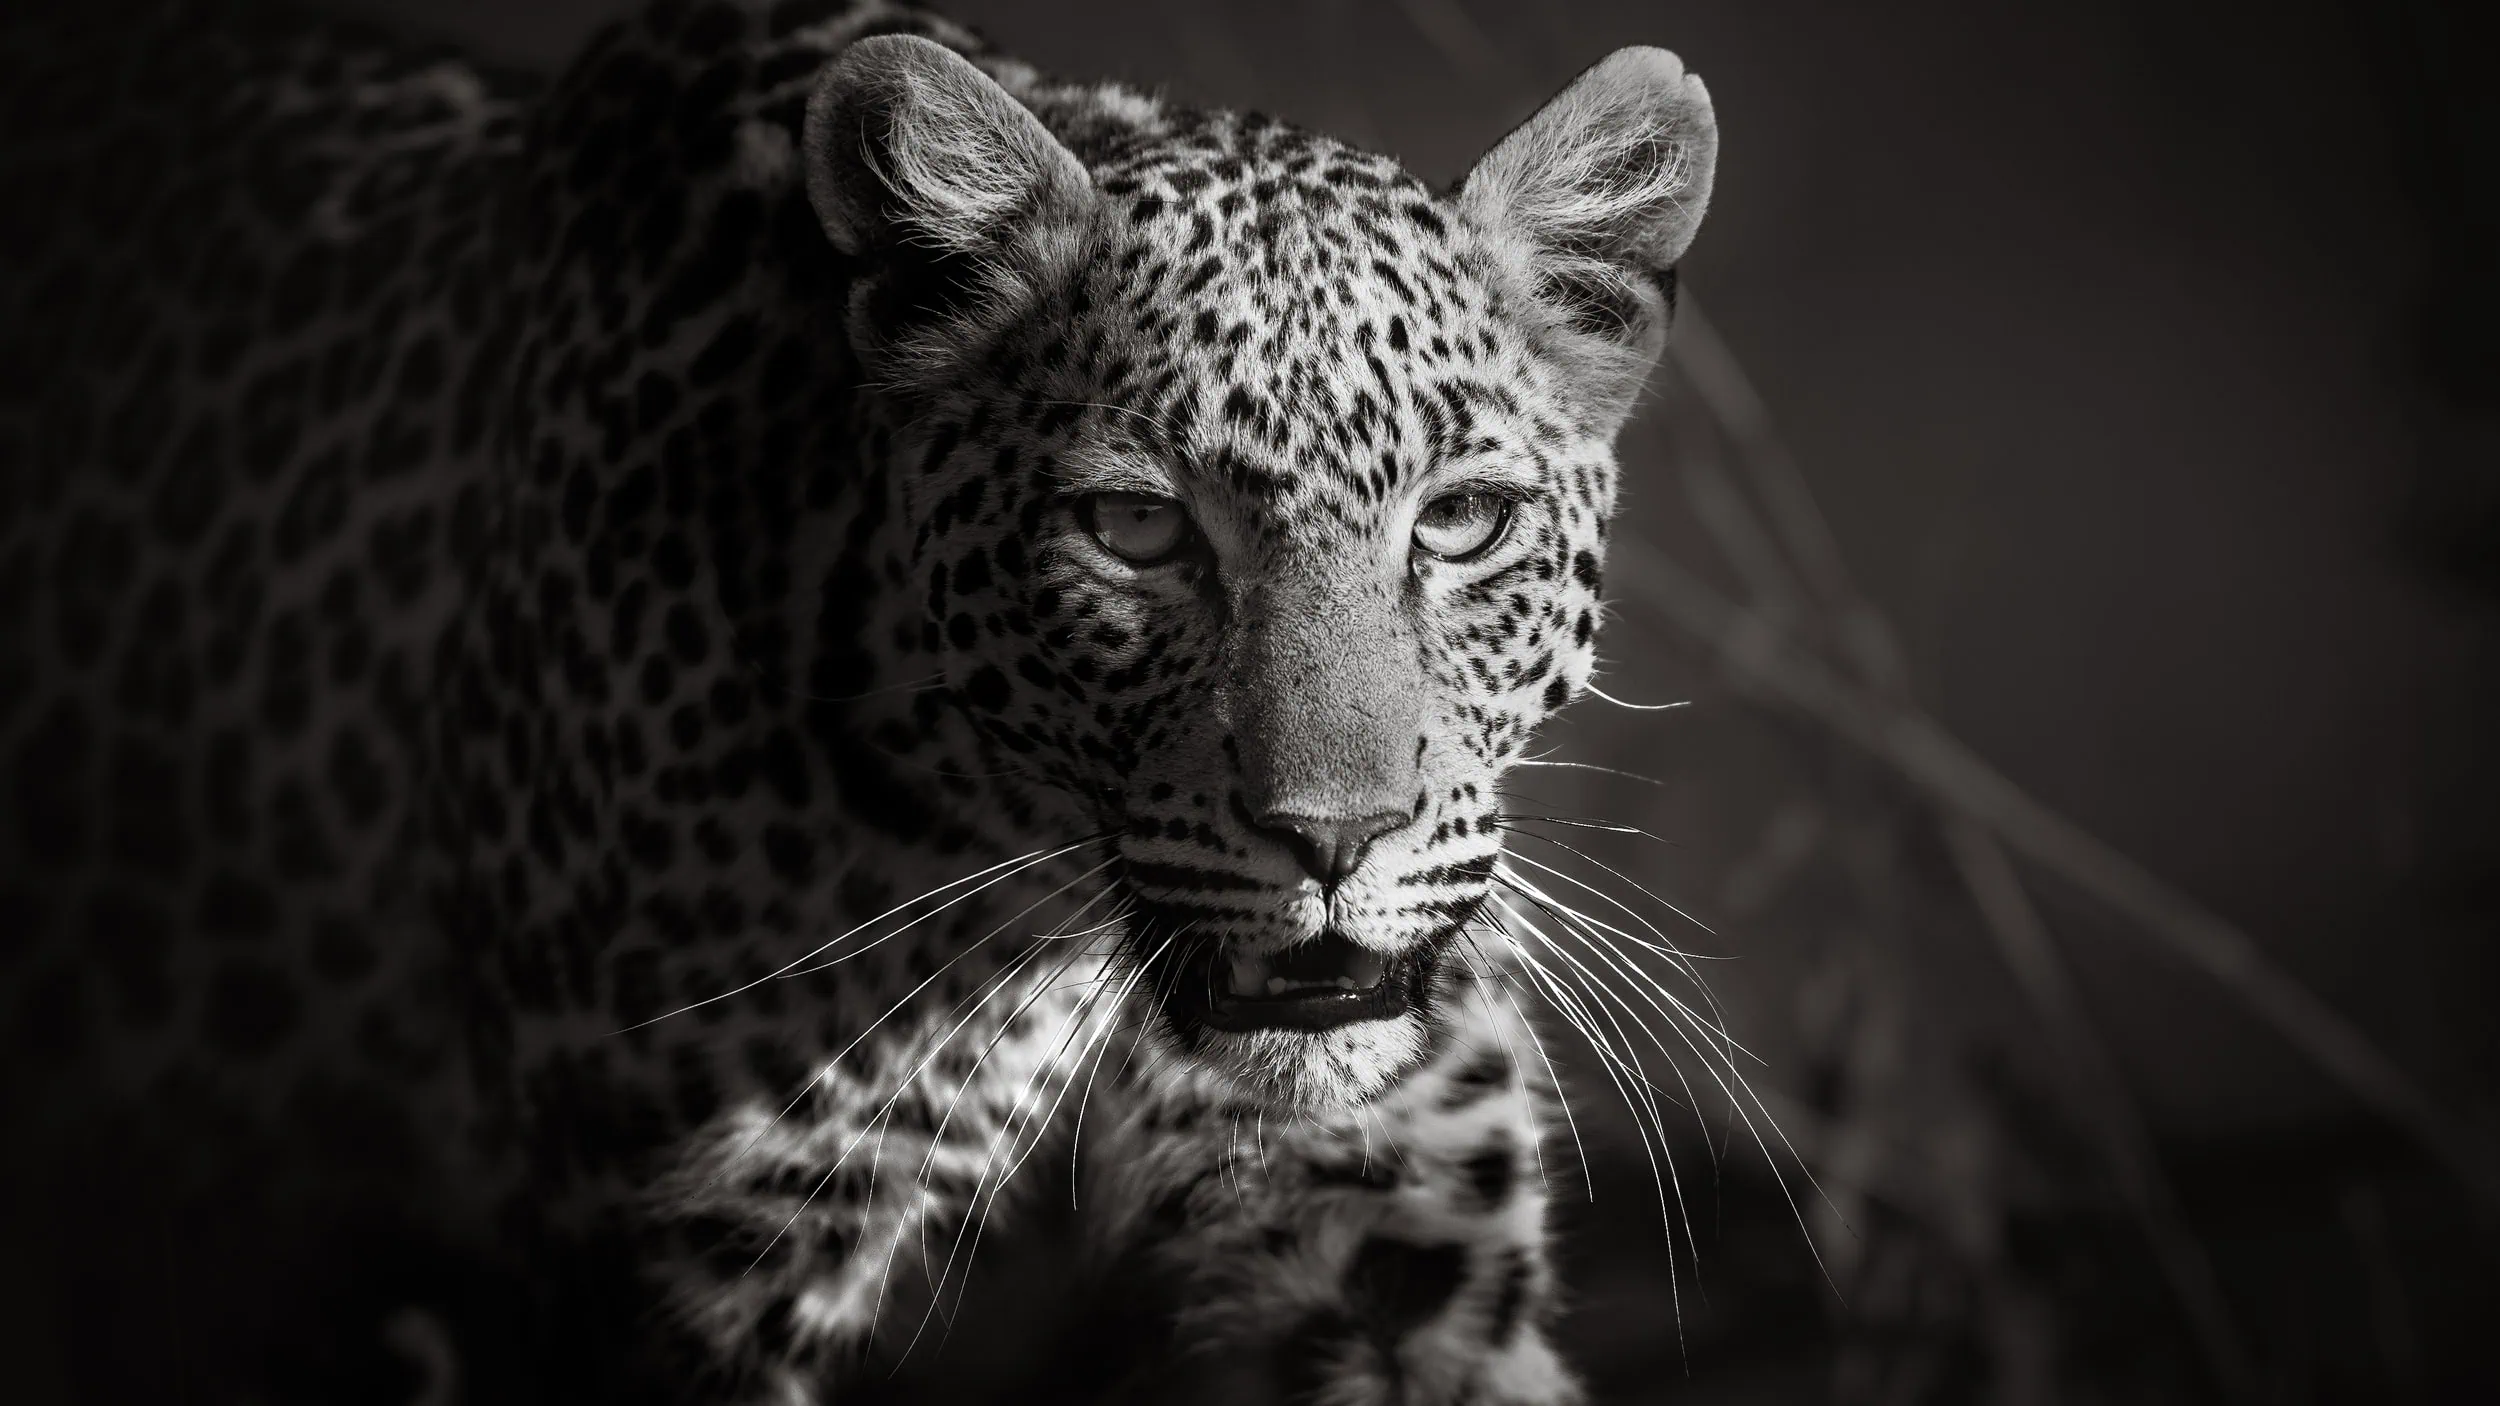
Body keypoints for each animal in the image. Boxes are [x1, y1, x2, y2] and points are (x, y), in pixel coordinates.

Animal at [0, 0, 1719, 1401]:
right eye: (1136, 529)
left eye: (1462, 520)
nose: (1335, 839)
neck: (1036, 893)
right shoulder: (681, 1279)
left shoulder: (1406, 1247)